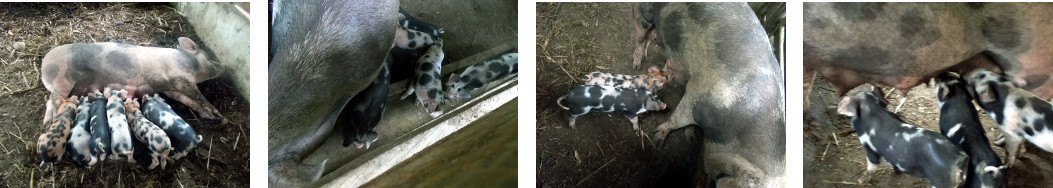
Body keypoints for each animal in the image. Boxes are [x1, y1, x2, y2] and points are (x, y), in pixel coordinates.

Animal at [40, 36, 226, 126]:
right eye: (208, 56)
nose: (224, 66)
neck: (194, 66)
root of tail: (43, 63)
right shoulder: (181, 76)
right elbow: (197, 95)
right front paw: (217, 113)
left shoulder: (172, 89)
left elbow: (188, 100)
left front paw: (214, 118)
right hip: (63, 77)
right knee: (54, 101)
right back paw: (50, 122)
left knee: (51, 100)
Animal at [838, 88, 968, 186]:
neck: (872, 109)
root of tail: (960, 158)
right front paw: (896, 172)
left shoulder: (869, 146)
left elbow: (872, 165)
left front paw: (859, 182)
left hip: (941, 179)